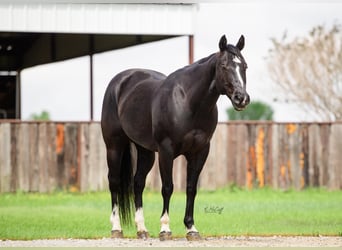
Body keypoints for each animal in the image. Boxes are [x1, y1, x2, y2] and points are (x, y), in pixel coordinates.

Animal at [100, 34, 250, 241]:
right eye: (224, 66)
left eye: (244, 66)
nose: (241, 98)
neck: (188, 102)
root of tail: (119, 82)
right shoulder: (166, 150)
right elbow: (168, 187)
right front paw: (165, 229)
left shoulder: (200, 151)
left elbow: (191, 188)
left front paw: (191, 228)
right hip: (114, 145)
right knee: (114, 181)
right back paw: (116, 228)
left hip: (145, 151)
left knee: (138, 183)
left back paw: (142, 229)